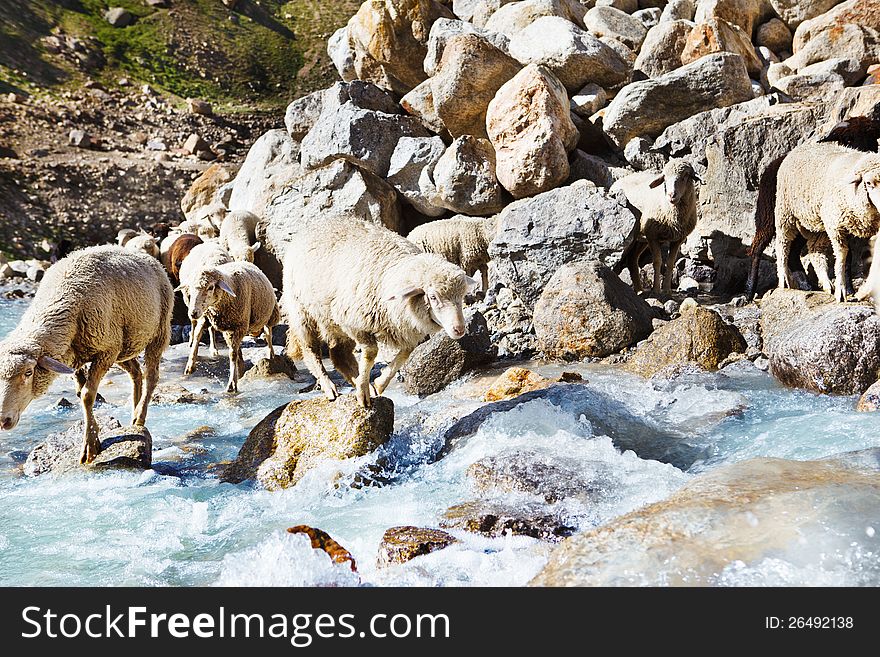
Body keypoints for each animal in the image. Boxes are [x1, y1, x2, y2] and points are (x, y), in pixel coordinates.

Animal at [0, 243, 173, 464]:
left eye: (28, 373)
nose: (2, 420)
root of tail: (149, 258)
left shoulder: (106, 352)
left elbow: (87, 396)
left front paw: (90, 446)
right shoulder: (75, 359)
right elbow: (80, 393)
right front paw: (94, 436)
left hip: (158, 332)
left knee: (151, 376)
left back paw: (140, 416)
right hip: (124, 346)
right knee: (136, 373)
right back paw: (134, 413)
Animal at [183, 262, 282, 392]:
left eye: (210, 287)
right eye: (191, 288)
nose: (193, 313)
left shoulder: (239, 326)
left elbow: (232, 355)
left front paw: (231, 384)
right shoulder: (208, 318)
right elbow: (196, 336)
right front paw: (190, 365)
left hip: (269, 316)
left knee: (268, 335)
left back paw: (271, 355)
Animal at [284, 218, 478, 408]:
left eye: (462, 296)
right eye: (433, 297)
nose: (459, 329)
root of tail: (312, 225)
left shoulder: (404, 328)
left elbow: (406, 353)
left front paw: (377, 384)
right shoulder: (353, 322)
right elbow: (370, 353)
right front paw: (363, 392)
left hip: (333, 323)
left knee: (339, 355)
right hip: (302, 312)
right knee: (310, 351)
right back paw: (329, 386)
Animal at [608, 159, 696, 292]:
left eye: (685, 176)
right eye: (665, 178)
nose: (671, 195)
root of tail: (616, 182)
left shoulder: (677, 240)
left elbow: (670, 263)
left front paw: (667, 291)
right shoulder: (652, 236)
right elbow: (657, 262)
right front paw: (656, 290)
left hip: (640, 239)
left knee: (632, 260)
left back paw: (639, 290)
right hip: (640, 237)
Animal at [772, 142, 880, 302]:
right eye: (868, 183)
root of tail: (802, 146)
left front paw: (862, 292)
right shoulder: (835, 225)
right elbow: (842, 255)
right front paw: (842, 291)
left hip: (819, 225)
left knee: (815, 250)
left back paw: (827, 283)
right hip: (785, 212)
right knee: (783, 244)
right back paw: (784, 279)